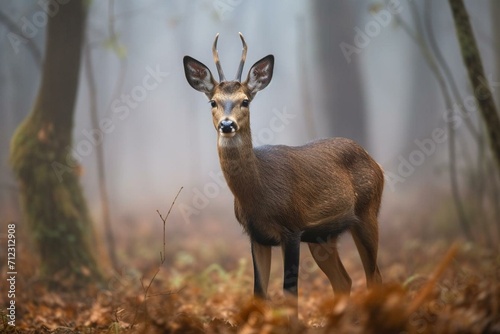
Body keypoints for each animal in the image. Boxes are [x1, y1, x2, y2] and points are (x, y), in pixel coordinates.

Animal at [184, 32, 382, 306]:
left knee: (374, 277)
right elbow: (258, 292)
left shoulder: (292, 228)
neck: (258, 194)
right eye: (213, 101)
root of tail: (375, 162)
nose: (227, 124)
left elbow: (290, 293)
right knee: (345, 281)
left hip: (367, 212)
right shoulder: (256, 235)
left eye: (245, 101)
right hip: (323, 236)